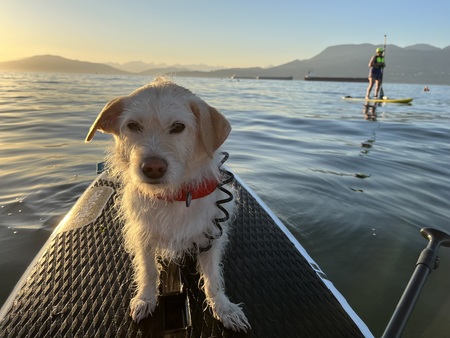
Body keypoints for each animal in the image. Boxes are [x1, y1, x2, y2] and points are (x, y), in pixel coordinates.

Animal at [85, 77, 250, 332]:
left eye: (178, 127)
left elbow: (213, 278)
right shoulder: (143, 234)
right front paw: (145, 298)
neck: (175, 195)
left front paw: (224, 308)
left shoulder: (212, 233)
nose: (153, 167)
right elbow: (148, 270)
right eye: (133, 125)